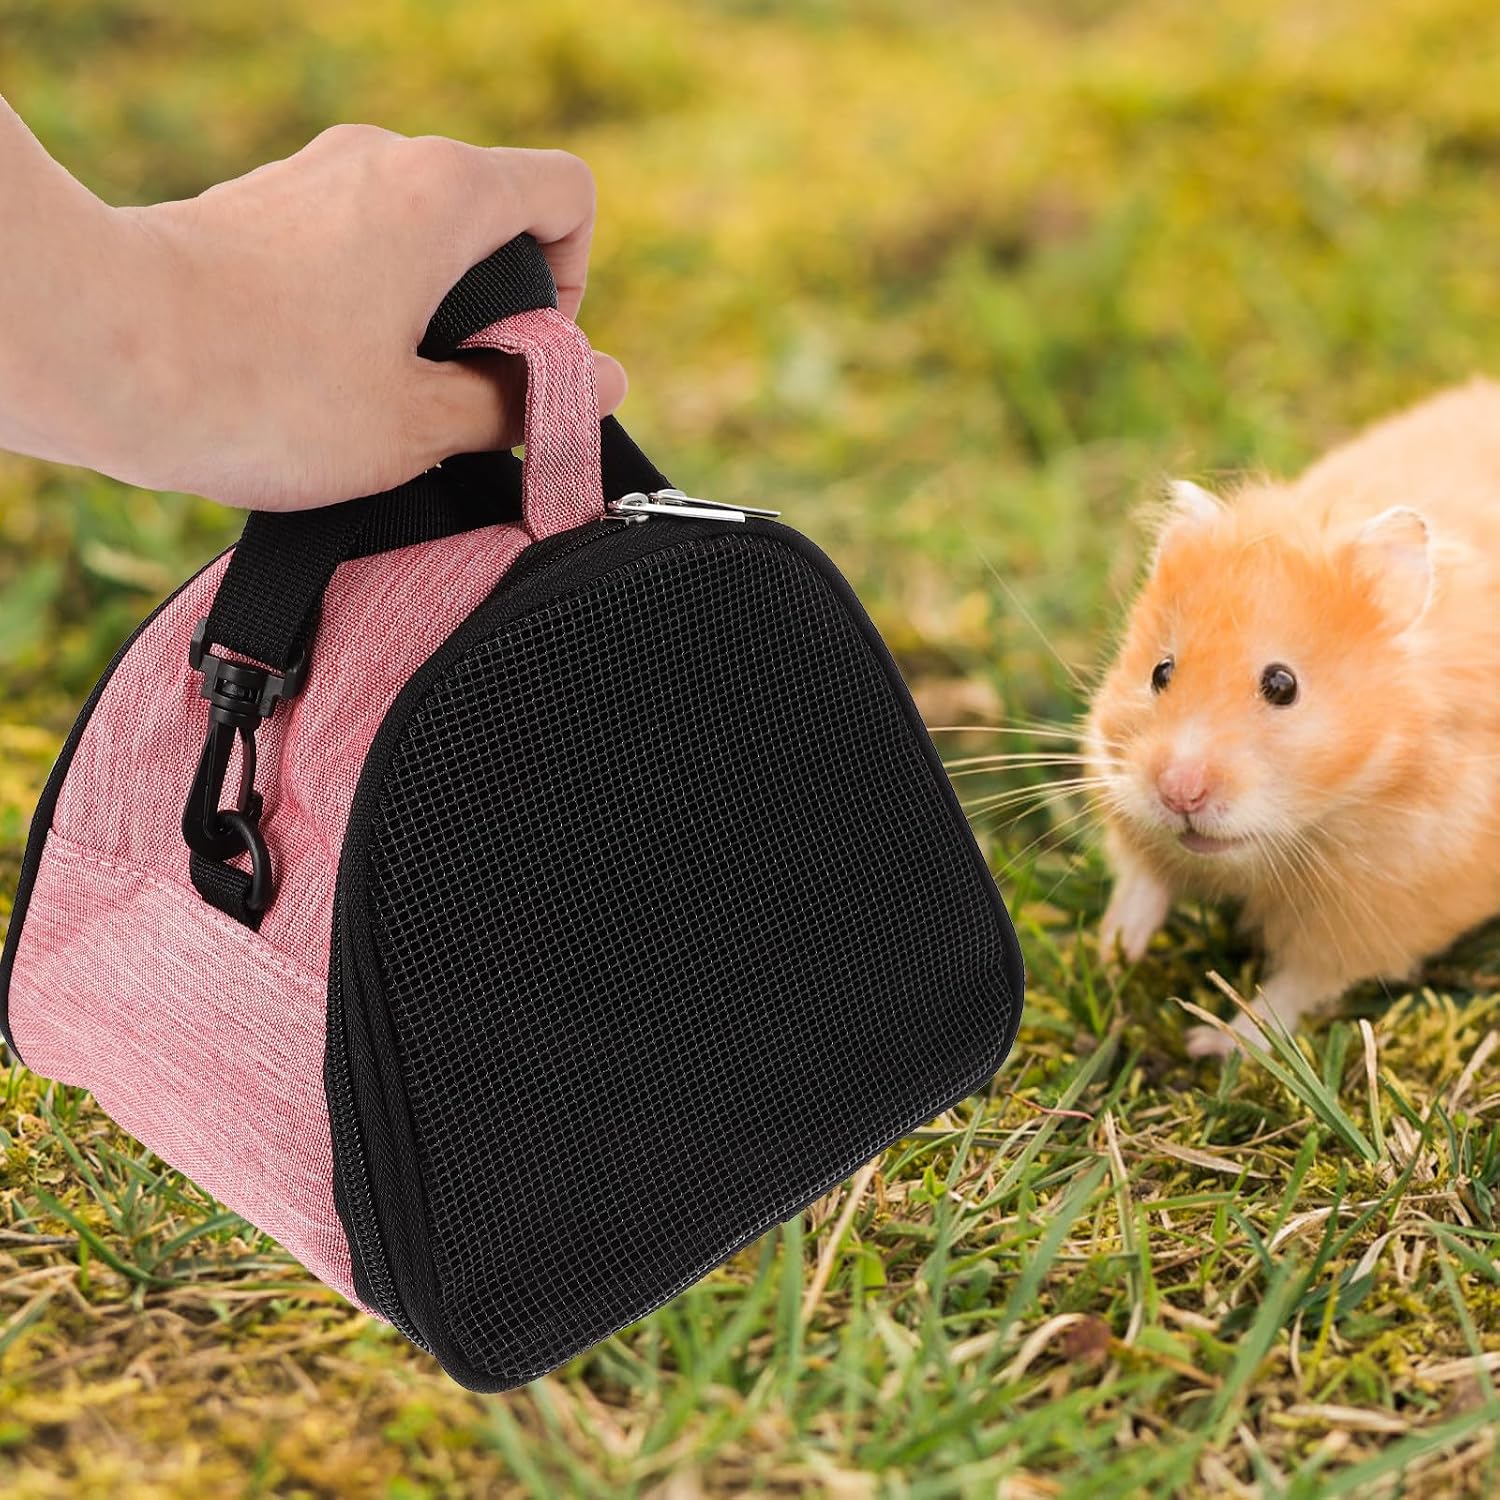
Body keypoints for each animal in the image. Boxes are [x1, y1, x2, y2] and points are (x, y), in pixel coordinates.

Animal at [1085, 379, 1500, 1057]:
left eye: (1282, 686)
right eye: (1160, 672)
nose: (1179, 794)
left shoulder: (1385, 906)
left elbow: (1293, 990)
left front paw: (1209, 1044)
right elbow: (1142, 875)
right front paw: (1113, 953)